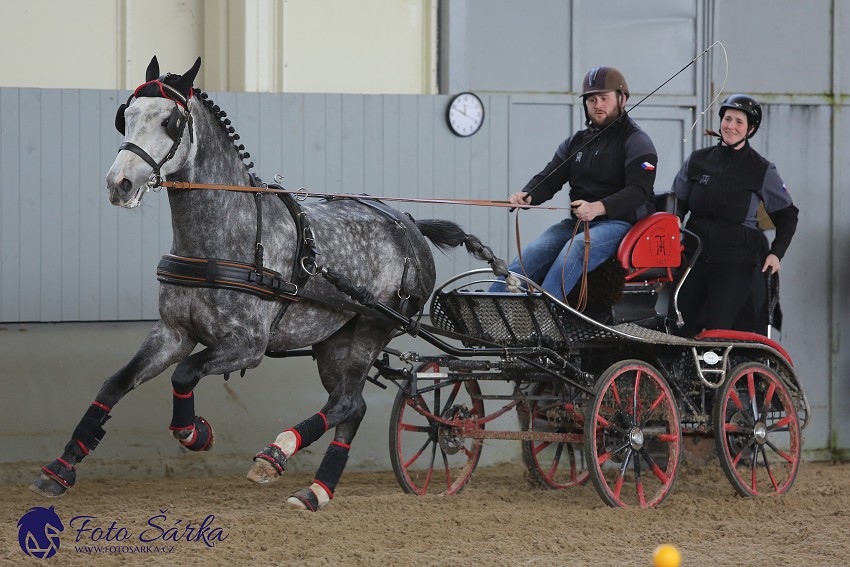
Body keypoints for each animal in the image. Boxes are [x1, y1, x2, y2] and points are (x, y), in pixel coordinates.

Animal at [29, 56, 500, 510]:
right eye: (126, 115)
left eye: (170, 121)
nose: (119, 184)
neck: (222, 240)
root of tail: (410, 224)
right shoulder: (173, 333)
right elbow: (116, 383)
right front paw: (60, 469)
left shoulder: (247, 346)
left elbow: (184, 374)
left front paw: (194, 433)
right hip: (334, 343)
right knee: (352, 406)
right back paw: (315, 491)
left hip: (373, 328)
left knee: (347, 402)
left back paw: (277, 454)